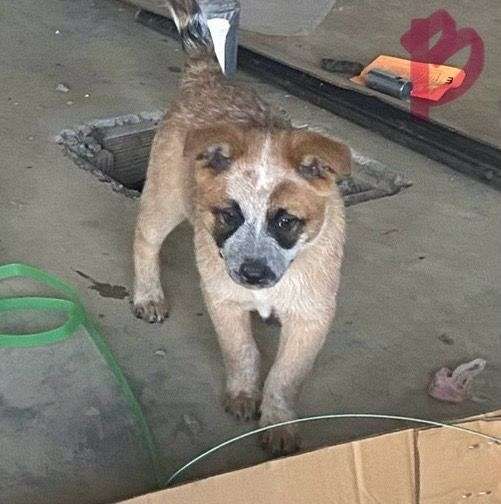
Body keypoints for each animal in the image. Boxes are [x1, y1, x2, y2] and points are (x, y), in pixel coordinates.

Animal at [135, 0, 350, 456]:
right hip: (165, 199)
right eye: (228, 215)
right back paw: (148, 294)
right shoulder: (224, 300)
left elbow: (286, 375)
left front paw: (278, 422)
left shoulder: (311, 318)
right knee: (145, 239)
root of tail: (210, 77)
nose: (252, 274)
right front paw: (243, 395)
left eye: (285, 221)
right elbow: (242, 351)